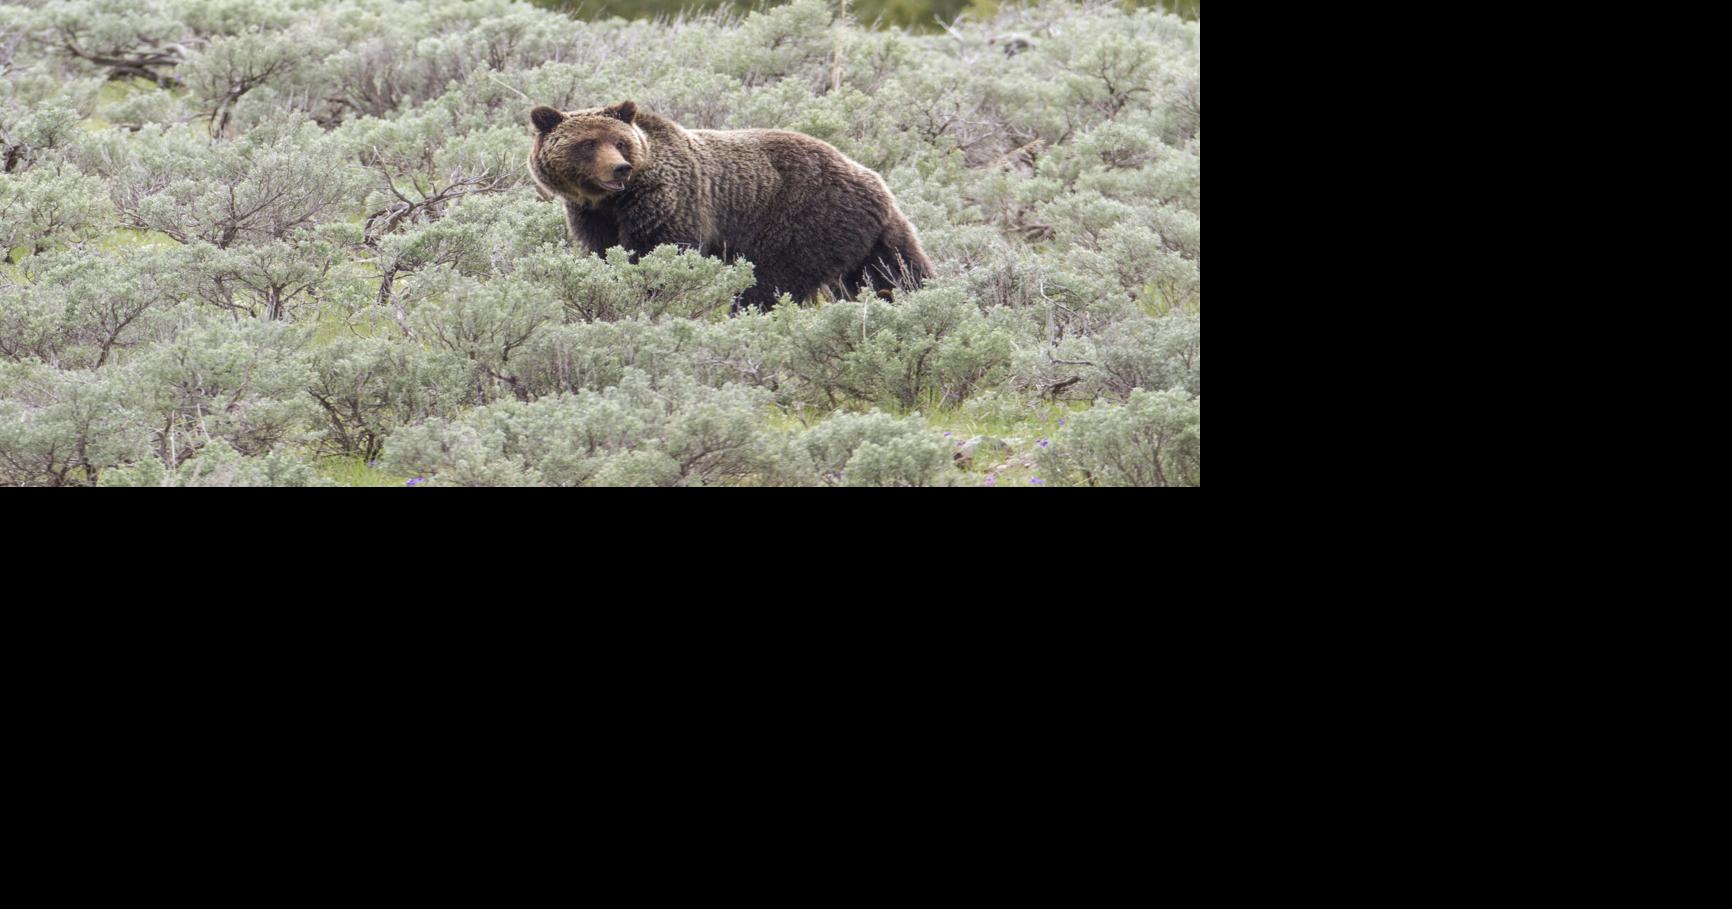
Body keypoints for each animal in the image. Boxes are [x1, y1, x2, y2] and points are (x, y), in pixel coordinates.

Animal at [527, 100, 933, 310]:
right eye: (588, 143)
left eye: (620, 142)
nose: (619, 168)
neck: (613, 200)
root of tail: (872, 178)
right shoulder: (592, 216)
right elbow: (603, 253)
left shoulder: (668, 200)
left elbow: (660, 252)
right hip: (866, 234)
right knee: (895, 270)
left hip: (803, 219)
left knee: (772, 280)